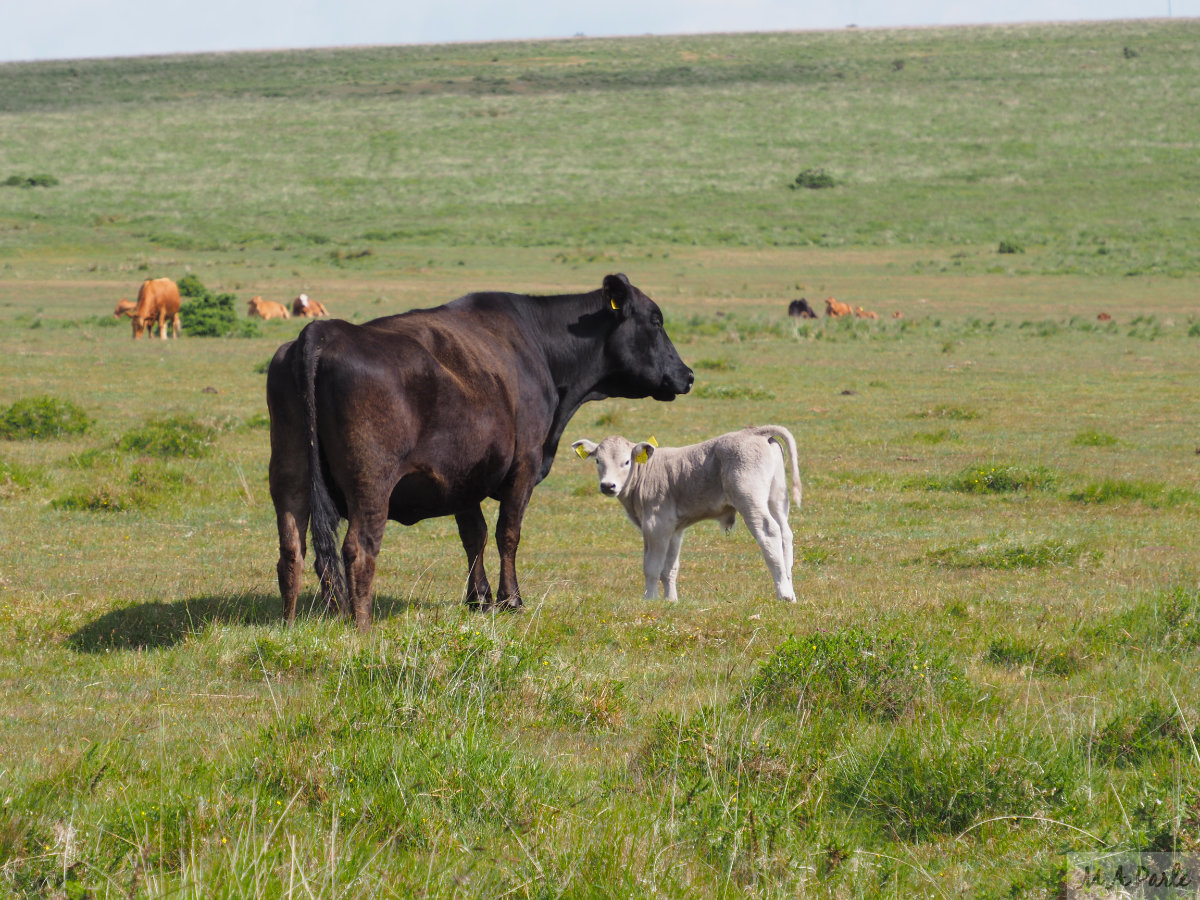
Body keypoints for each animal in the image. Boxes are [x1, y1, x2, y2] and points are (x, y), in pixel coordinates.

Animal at [262, 271, 696, 628]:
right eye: (655, 321)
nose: (687, 375)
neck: (538, 345)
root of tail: (324, 331)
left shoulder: (461, 476)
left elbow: (474, 535)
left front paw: (479, 598)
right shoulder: (524, 464)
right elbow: (507, 533)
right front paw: (511, 599)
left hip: (290, 475)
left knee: (291, 550)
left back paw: (290, 623)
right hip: (371, 482)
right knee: (358, 550)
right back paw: (362, 626)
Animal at [573, 427, 801, 607]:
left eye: (627, 461)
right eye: (598, 461)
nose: (607, 485)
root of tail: (755, 431)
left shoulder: (655, 524)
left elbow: (652, 566)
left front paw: (650, 599)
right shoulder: (674, 529)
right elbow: (669, 568)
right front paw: (671, 600)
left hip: (750, 499)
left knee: (769, 532)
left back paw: (783, 593)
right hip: (776, 498)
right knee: (785, 534)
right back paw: (790, 588)